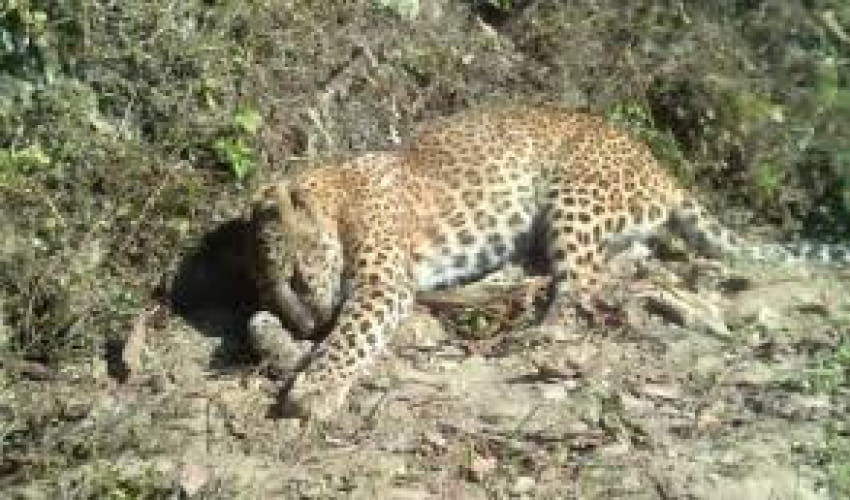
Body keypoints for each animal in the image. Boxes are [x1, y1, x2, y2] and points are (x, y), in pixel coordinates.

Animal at [247, 104, 850, 421]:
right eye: (272, 288)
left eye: (297, 278)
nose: (308, 325)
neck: (336, 197)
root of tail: (664, 170)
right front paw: (280, 335)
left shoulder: (382, 283)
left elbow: (352, 336)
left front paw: (316, 387)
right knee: (613, 261)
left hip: (573, 196)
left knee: (586, 280)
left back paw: (538, 335)